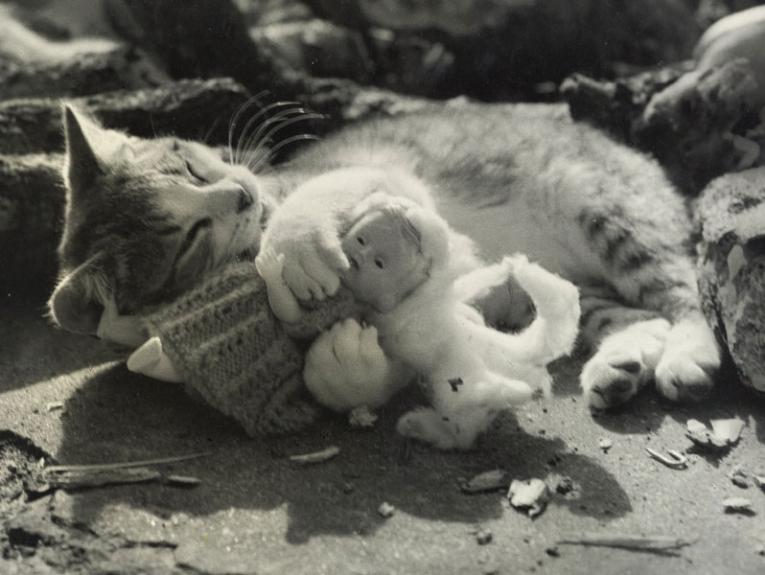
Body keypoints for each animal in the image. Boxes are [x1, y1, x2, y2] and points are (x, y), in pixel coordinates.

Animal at [50, 100, 720, 414]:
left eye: (190, 164)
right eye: (188, 237)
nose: (241, 192)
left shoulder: (374, 173)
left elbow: (340, 192)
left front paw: (291, 245)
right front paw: (347, 363)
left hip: (604, 203)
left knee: (680, 290)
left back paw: (690, 353)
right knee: (628, 311)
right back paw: (623, 362)